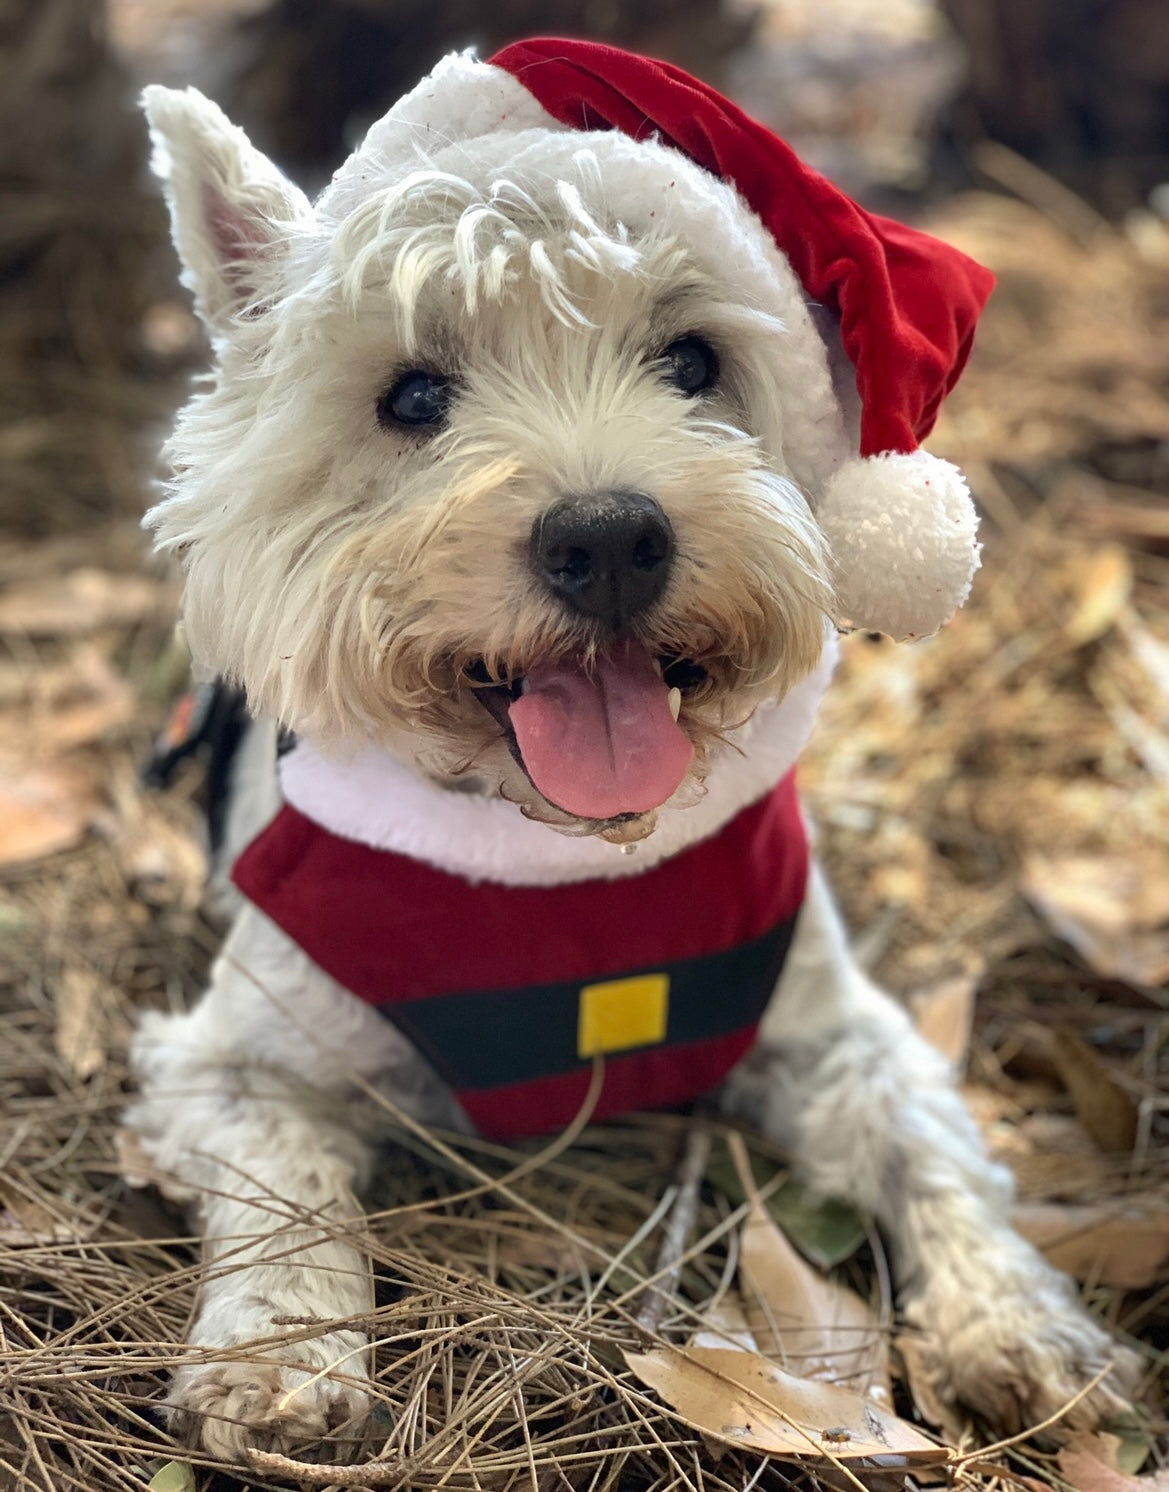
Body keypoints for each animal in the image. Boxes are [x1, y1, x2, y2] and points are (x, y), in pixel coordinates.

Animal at [125, 40, 1133, 1462]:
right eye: (411, 395)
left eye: (694, 360)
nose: (606, 537)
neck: (562, 858)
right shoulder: (239, 1057)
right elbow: (289, 1191)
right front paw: (277, 1359)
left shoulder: (833, 1029)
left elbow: (930, 1148)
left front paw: (1019, 1320)